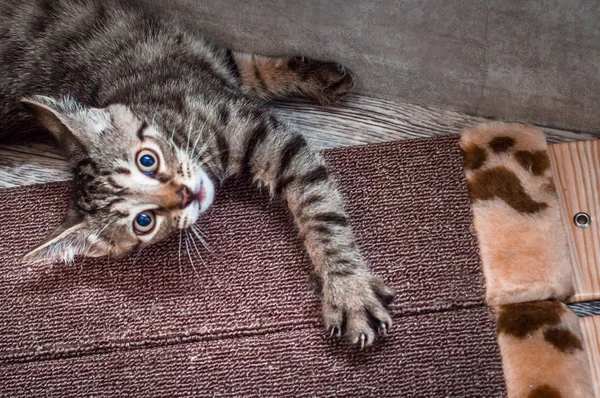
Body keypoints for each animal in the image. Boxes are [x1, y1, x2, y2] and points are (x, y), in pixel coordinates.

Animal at [1, 0, 394, 348]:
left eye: (147, 160)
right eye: (144, 221)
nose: (187, 194)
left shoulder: (257, 125)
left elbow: (319, 211)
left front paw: (349, 290)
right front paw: (350, 290)